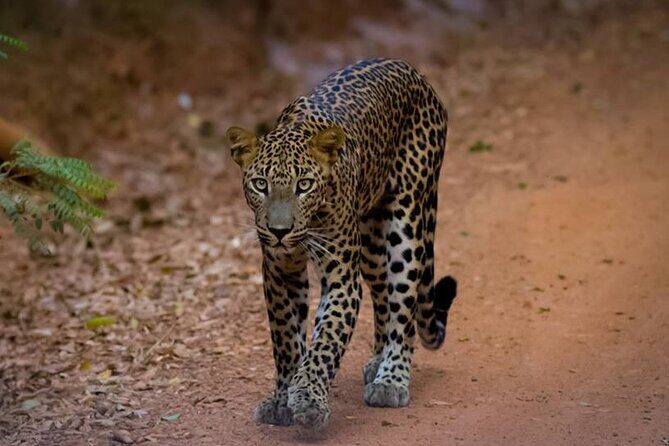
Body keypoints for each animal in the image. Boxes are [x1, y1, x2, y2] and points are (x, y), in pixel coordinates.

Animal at [226, 57, 458, 430]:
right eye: (260, 184)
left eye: (304, 185)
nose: (279, 231)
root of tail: (414, 72)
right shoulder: (279, 272)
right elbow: (287, 340)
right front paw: (282, 398)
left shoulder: (341, 276)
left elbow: (326, 340)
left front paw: (308, 398)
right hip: (372, 243)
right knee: (383, 295)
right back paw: (376, 361)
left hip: (405, 224)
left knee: (404, 306)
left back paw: (391, 379)